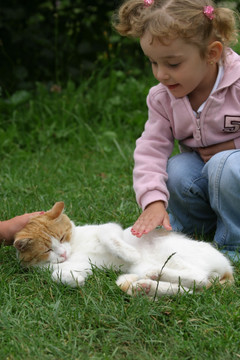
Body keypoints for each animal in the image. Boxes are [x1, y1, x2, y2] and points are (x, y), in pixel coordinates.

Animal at [12, 201, 232, 296]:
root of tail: (228, 269)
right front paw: (74, 280)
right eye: (47, 251)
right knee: (194, 286)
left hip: (170, 252)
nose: (64, 253)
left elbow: (107, 235)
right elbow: (57, 275)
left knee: (198, 277)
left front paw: (129, 253)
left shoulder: (110, 228)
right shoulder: (78, 265)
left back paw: (151, 275)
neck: (75, 248)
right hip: (146, 269)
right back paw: (144, 285)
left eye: (62, 237)